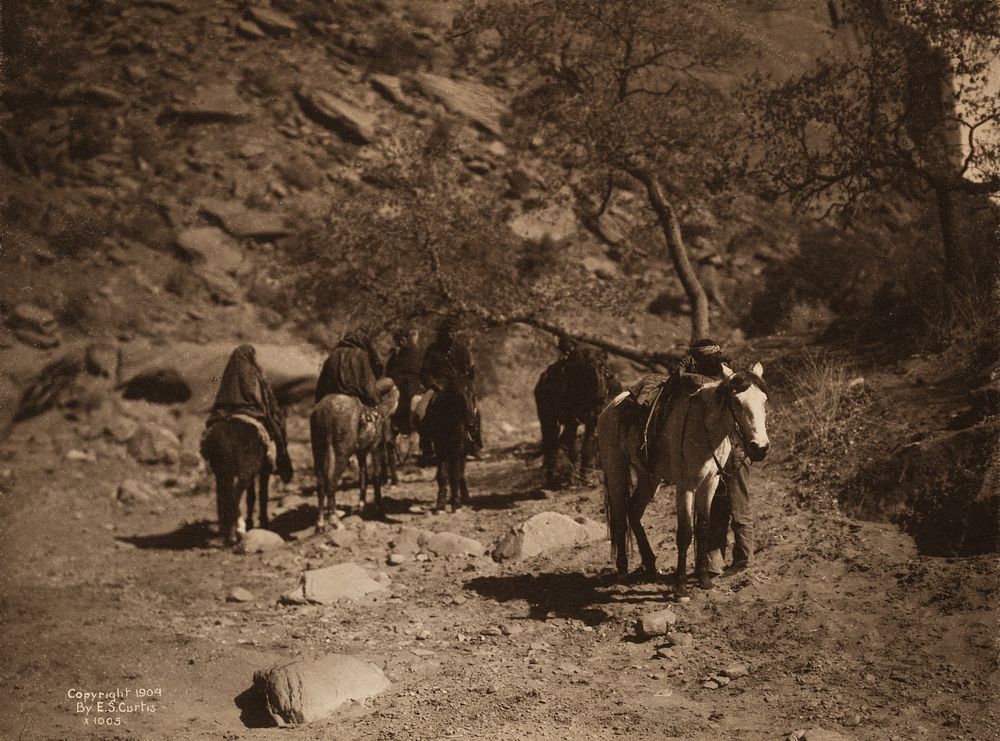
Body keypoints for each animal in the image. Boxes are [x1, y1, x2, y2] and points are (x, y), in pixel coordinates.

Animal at [200, 416, 274, 544]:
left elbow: (251, 496)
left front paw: (250, 523)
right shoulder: (265, 467)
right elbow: (262, 495)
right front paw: (262, 524)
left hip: (223, 473)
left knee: (223, 496)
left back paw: (227, 532)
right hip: (245, 471)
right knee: (234, 495)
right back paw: (237, 531)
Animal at [536, 346, 620, 486]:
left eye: (606, 370)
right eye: (588, 371)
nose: (601, 397)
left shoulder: (591, 421)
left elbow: (586, 448)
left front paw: (584, 476)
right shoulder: (572, 421)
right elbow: (571, 447)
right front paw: (574, 477)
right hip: (548, 420)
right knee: (551, 444)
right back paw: (551, 478)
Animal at [596, 364, 768, 596]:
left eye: (764, 401)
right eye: (737, 402)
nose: (760, 448)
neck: (703, 429)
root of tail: (610, 407)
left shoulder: (709, 484)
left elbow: (703, 528)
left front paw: (704, 579)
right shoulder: (685, 487)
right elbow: (685, 533)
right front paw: (681, 587)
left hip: (649, 477)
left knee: (633, 511)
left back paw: (650, 564)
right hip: (616, 470)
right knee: (619, 517)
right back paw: (622, 569)